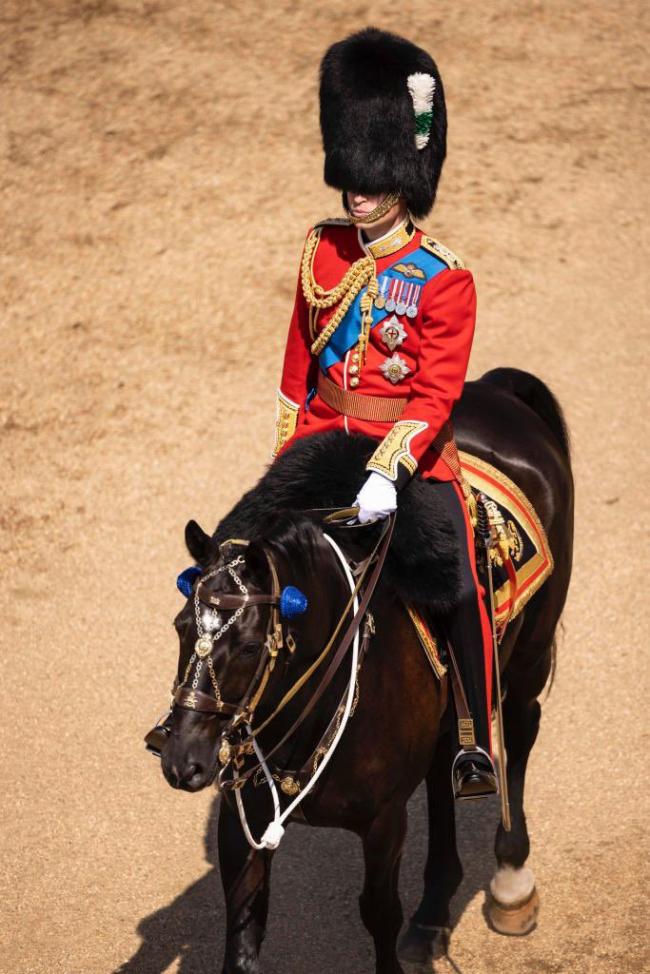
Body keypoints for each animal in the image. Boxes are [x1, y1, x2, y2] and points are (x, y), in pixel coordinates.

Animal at [154, 368, 568, 974]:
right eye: (182, 626)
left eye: (251, 647)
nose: (182, 761)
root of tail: (496, 392)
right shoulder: (241, 818)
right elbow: (244, 934)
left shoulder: (383, 820)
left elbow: (378, 911)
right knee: (446, 769)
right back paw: (433, 914)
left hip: (530, 653)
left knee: (518, 731)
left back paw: (510, 883)